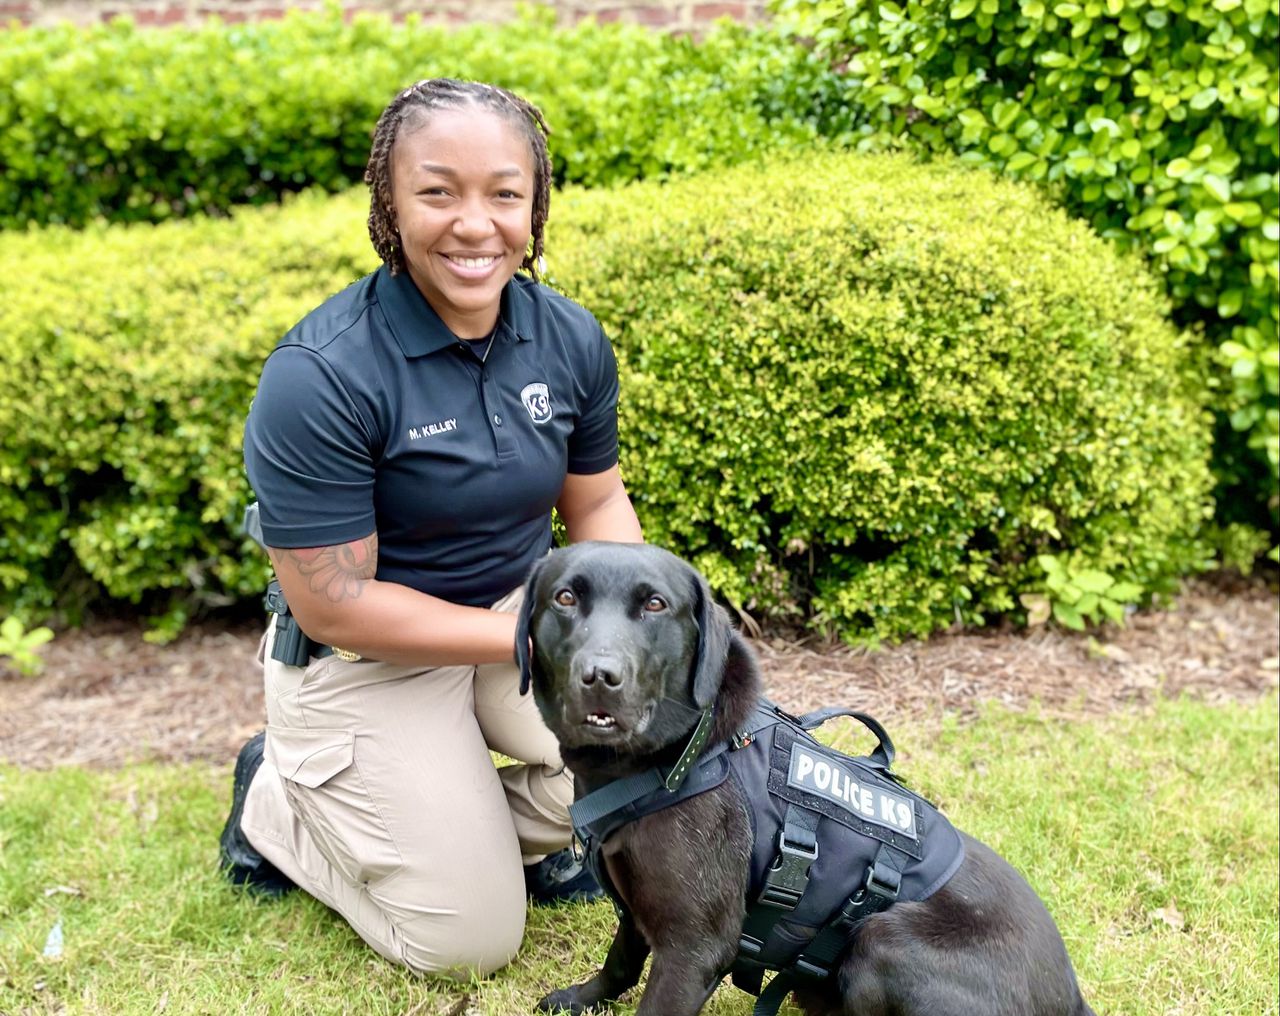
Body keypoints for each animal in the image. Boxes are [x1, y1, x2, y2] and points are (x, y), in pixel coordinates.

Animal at [514, 542, 1095, 1013]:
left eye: (655, 605)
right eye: (565, 598)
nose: (600, 677)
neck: (681, 757)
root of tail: (1073, 1000)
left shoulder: (694, 949)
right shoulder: (635, 907)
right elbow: (620, 962)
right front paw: (581, 999)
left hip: (882, 938)